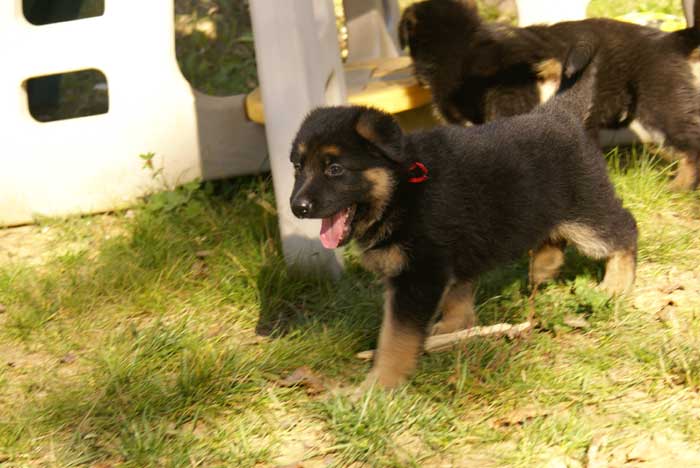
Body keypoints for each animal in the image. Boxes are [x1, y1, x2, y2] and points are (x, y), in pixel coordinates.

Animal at [288, 55, 636, 392]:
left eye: (334, 169)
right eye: (298, 167)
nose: (297, 207)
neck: (401, 189)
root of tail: (560, 113)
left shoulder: (419, 274)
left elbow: (395, 337)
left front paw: (379, 386)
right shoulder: (445, 257)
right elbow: (456, 295)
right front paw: (453, 328)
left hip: (587, 210)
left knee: (624, 229)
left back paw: (616, 284)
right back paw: (544, 267)